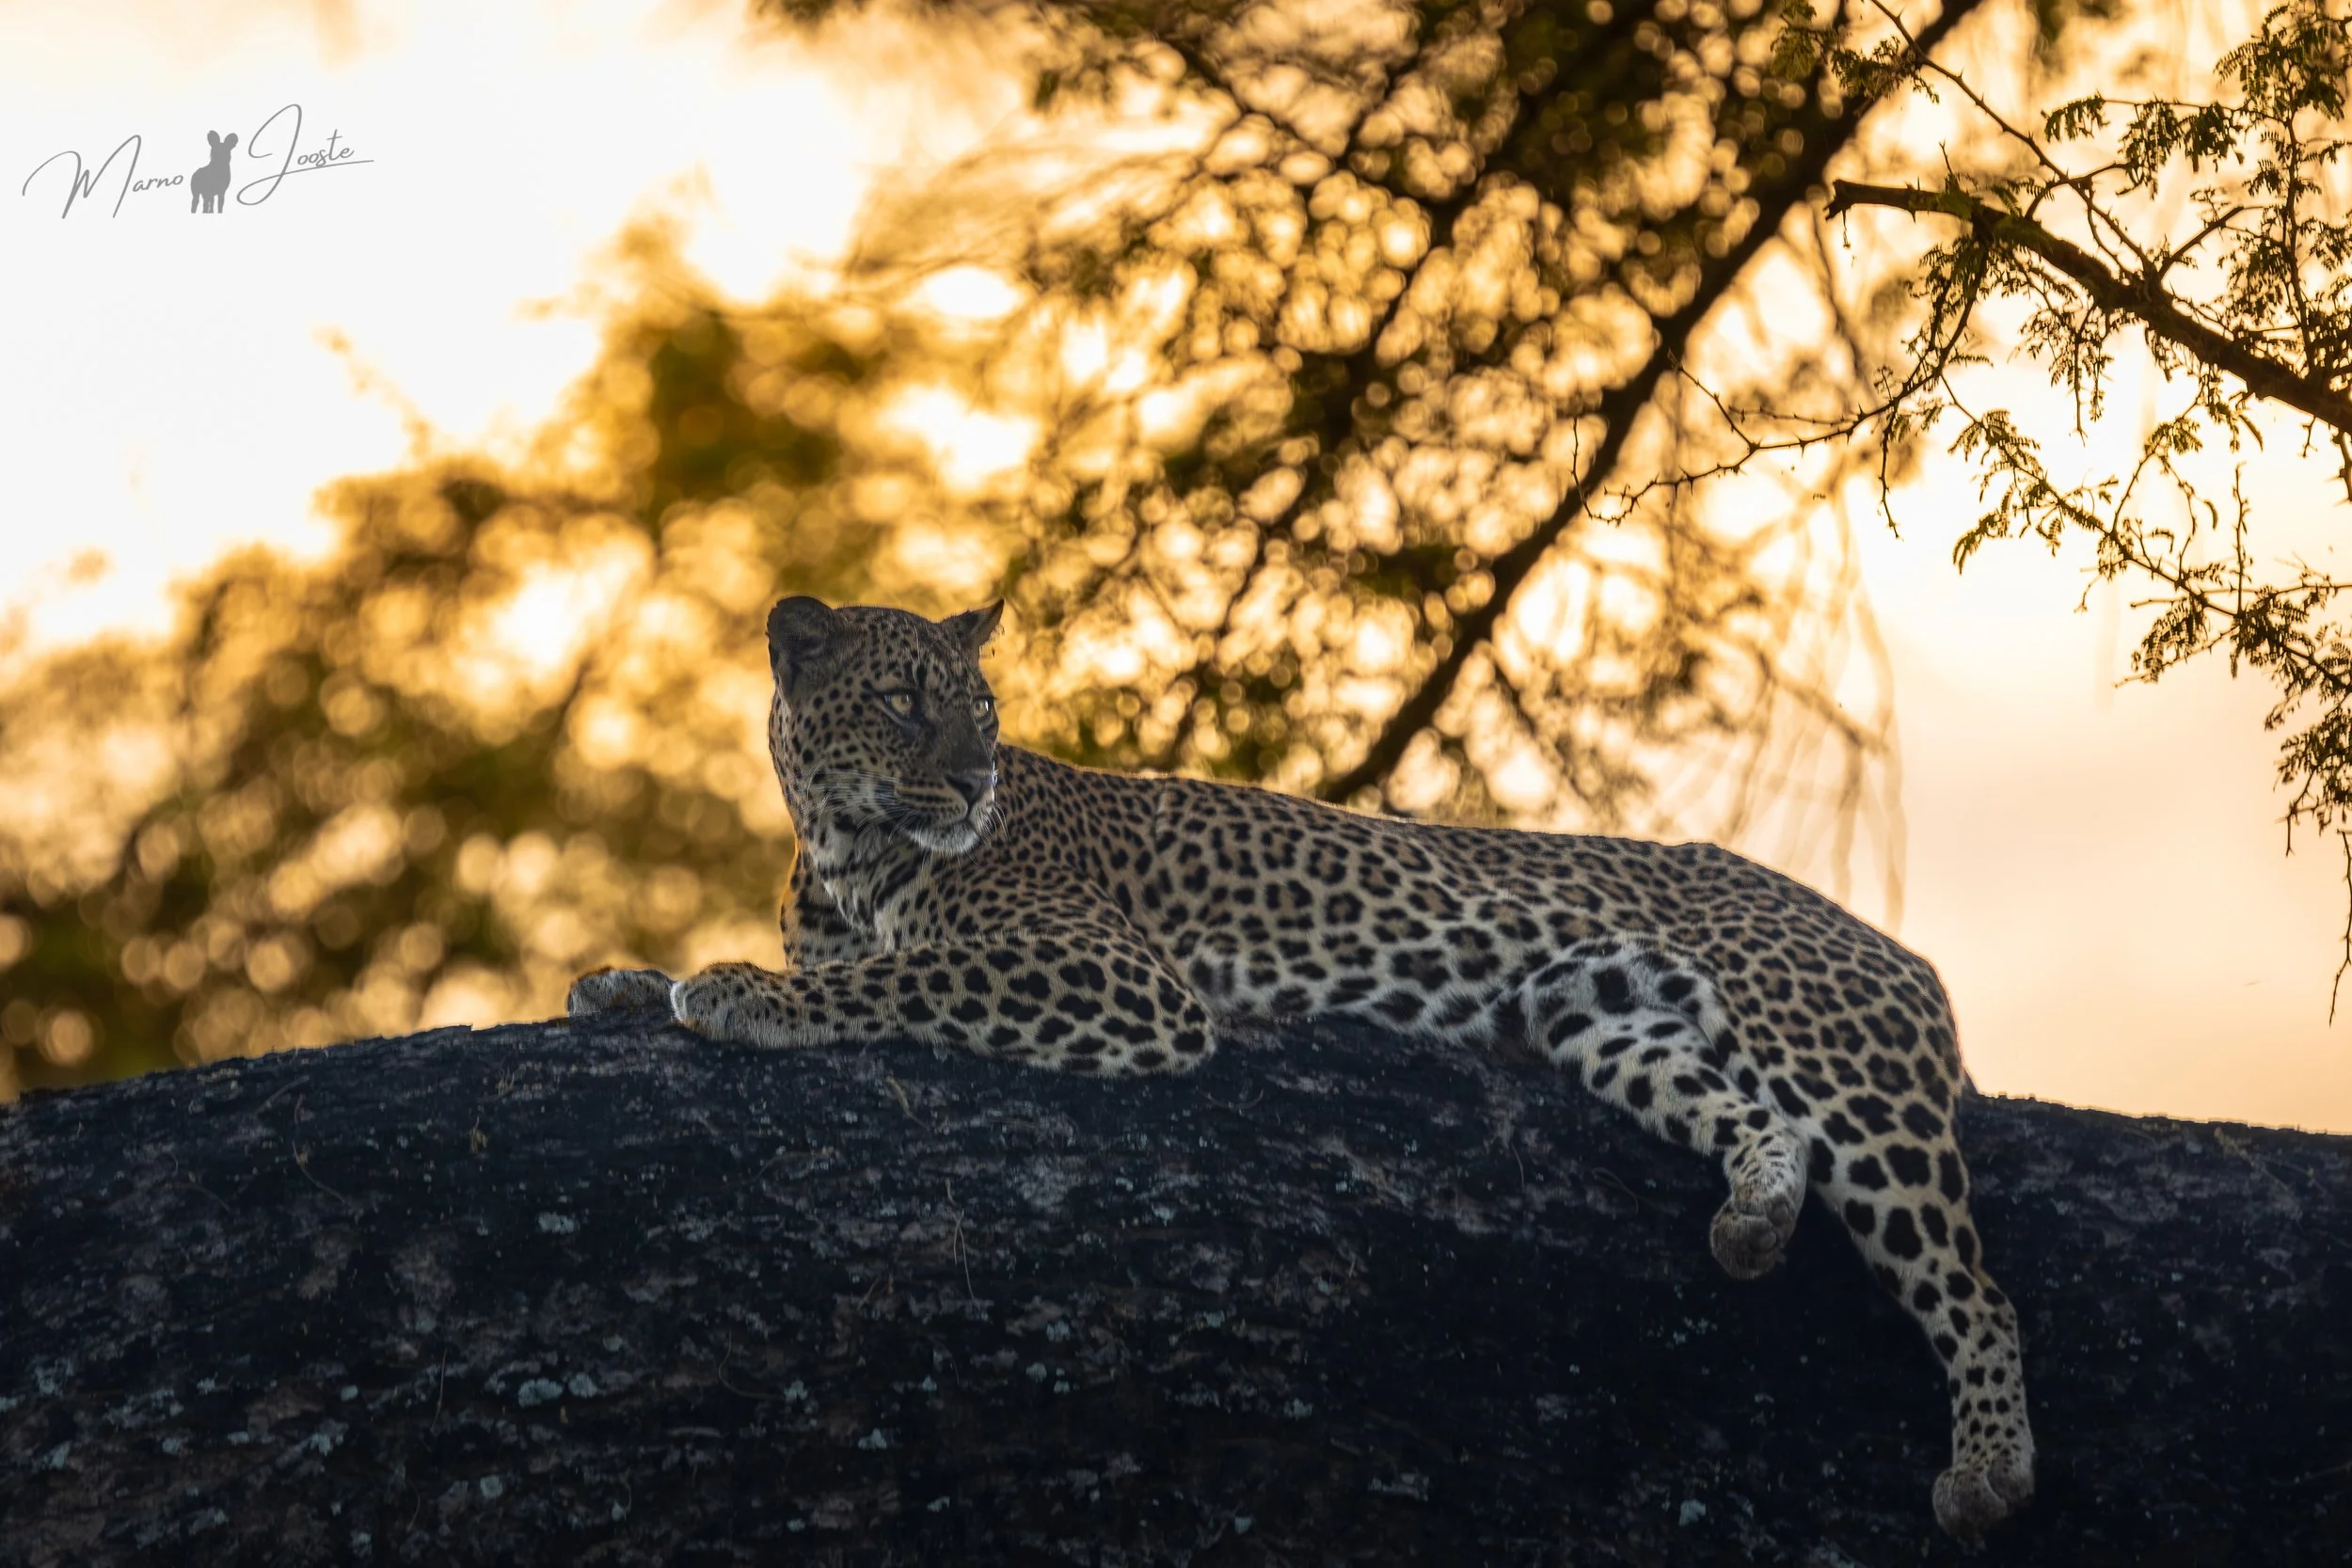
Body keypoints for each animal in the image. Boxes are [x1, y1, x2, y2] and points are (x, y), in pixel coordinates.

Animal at [569, 596, 2036, 1541]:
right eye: (902, 701)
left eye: (980, 707)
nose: (977, 780)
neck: (839, 849)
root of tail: (1889, 941)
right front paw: (618, 982)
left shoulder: (1119, 977)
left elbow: (890, 980)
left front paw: (742, 994)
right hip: (1605, 1020)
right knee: (1755, 1125)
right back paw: (1750, 1220)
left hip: (1845, 1069)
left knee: (1976, 1288)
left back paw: (1988, 1470)